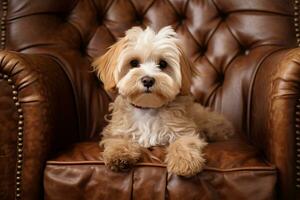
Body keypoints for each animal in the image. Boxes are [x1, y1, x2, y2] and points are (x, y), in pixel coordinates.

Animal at [94, 25, 234, 177]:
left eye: (162, 64)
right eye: (134, 63)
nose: (148, 80)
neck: (148, 108)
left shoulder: (184, 130)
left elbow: (183, 142)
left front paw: (184, 161)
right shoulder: (117, 130)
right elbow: (117, 140)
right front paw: (118, 155)